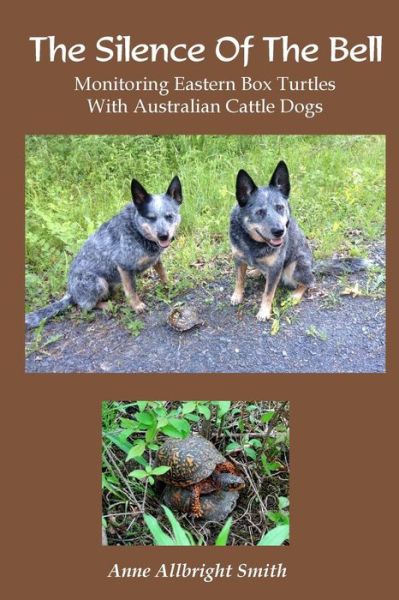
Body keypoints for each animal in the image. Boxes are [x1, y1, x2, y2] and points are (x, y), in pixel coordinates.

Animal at [25, 176, 185, 330]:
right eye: (150, 218)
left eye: (169, 216)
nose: (163, 236)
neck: (137, 230)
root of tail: (70, 292)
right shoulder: (124, 266)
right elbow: (131, 290)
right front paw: (137, 305)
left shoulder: (155, 259)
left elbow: (162, 273)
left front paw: (169, 285)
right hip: (98, 282)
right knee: (85, 306)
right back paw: (106, 305)